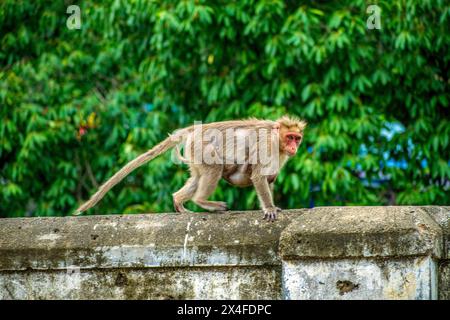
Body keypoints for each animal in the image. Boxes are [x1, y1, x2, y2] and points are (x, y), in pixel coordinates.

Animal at [74, 116, 306, 221]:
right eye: (290, 137)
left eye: (297, 138)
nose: (294, 146)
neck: (277, 139)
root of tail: (196, 129)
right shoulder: (267, 145)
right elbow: (259, 176)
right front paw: (269, 208)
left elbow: (269, 178)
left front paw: (272, 205)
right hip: (202, 147)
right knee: (214, 169)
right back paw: (202, 201)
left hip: (195, 154)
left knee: (198, 176)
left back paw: (179, 201)